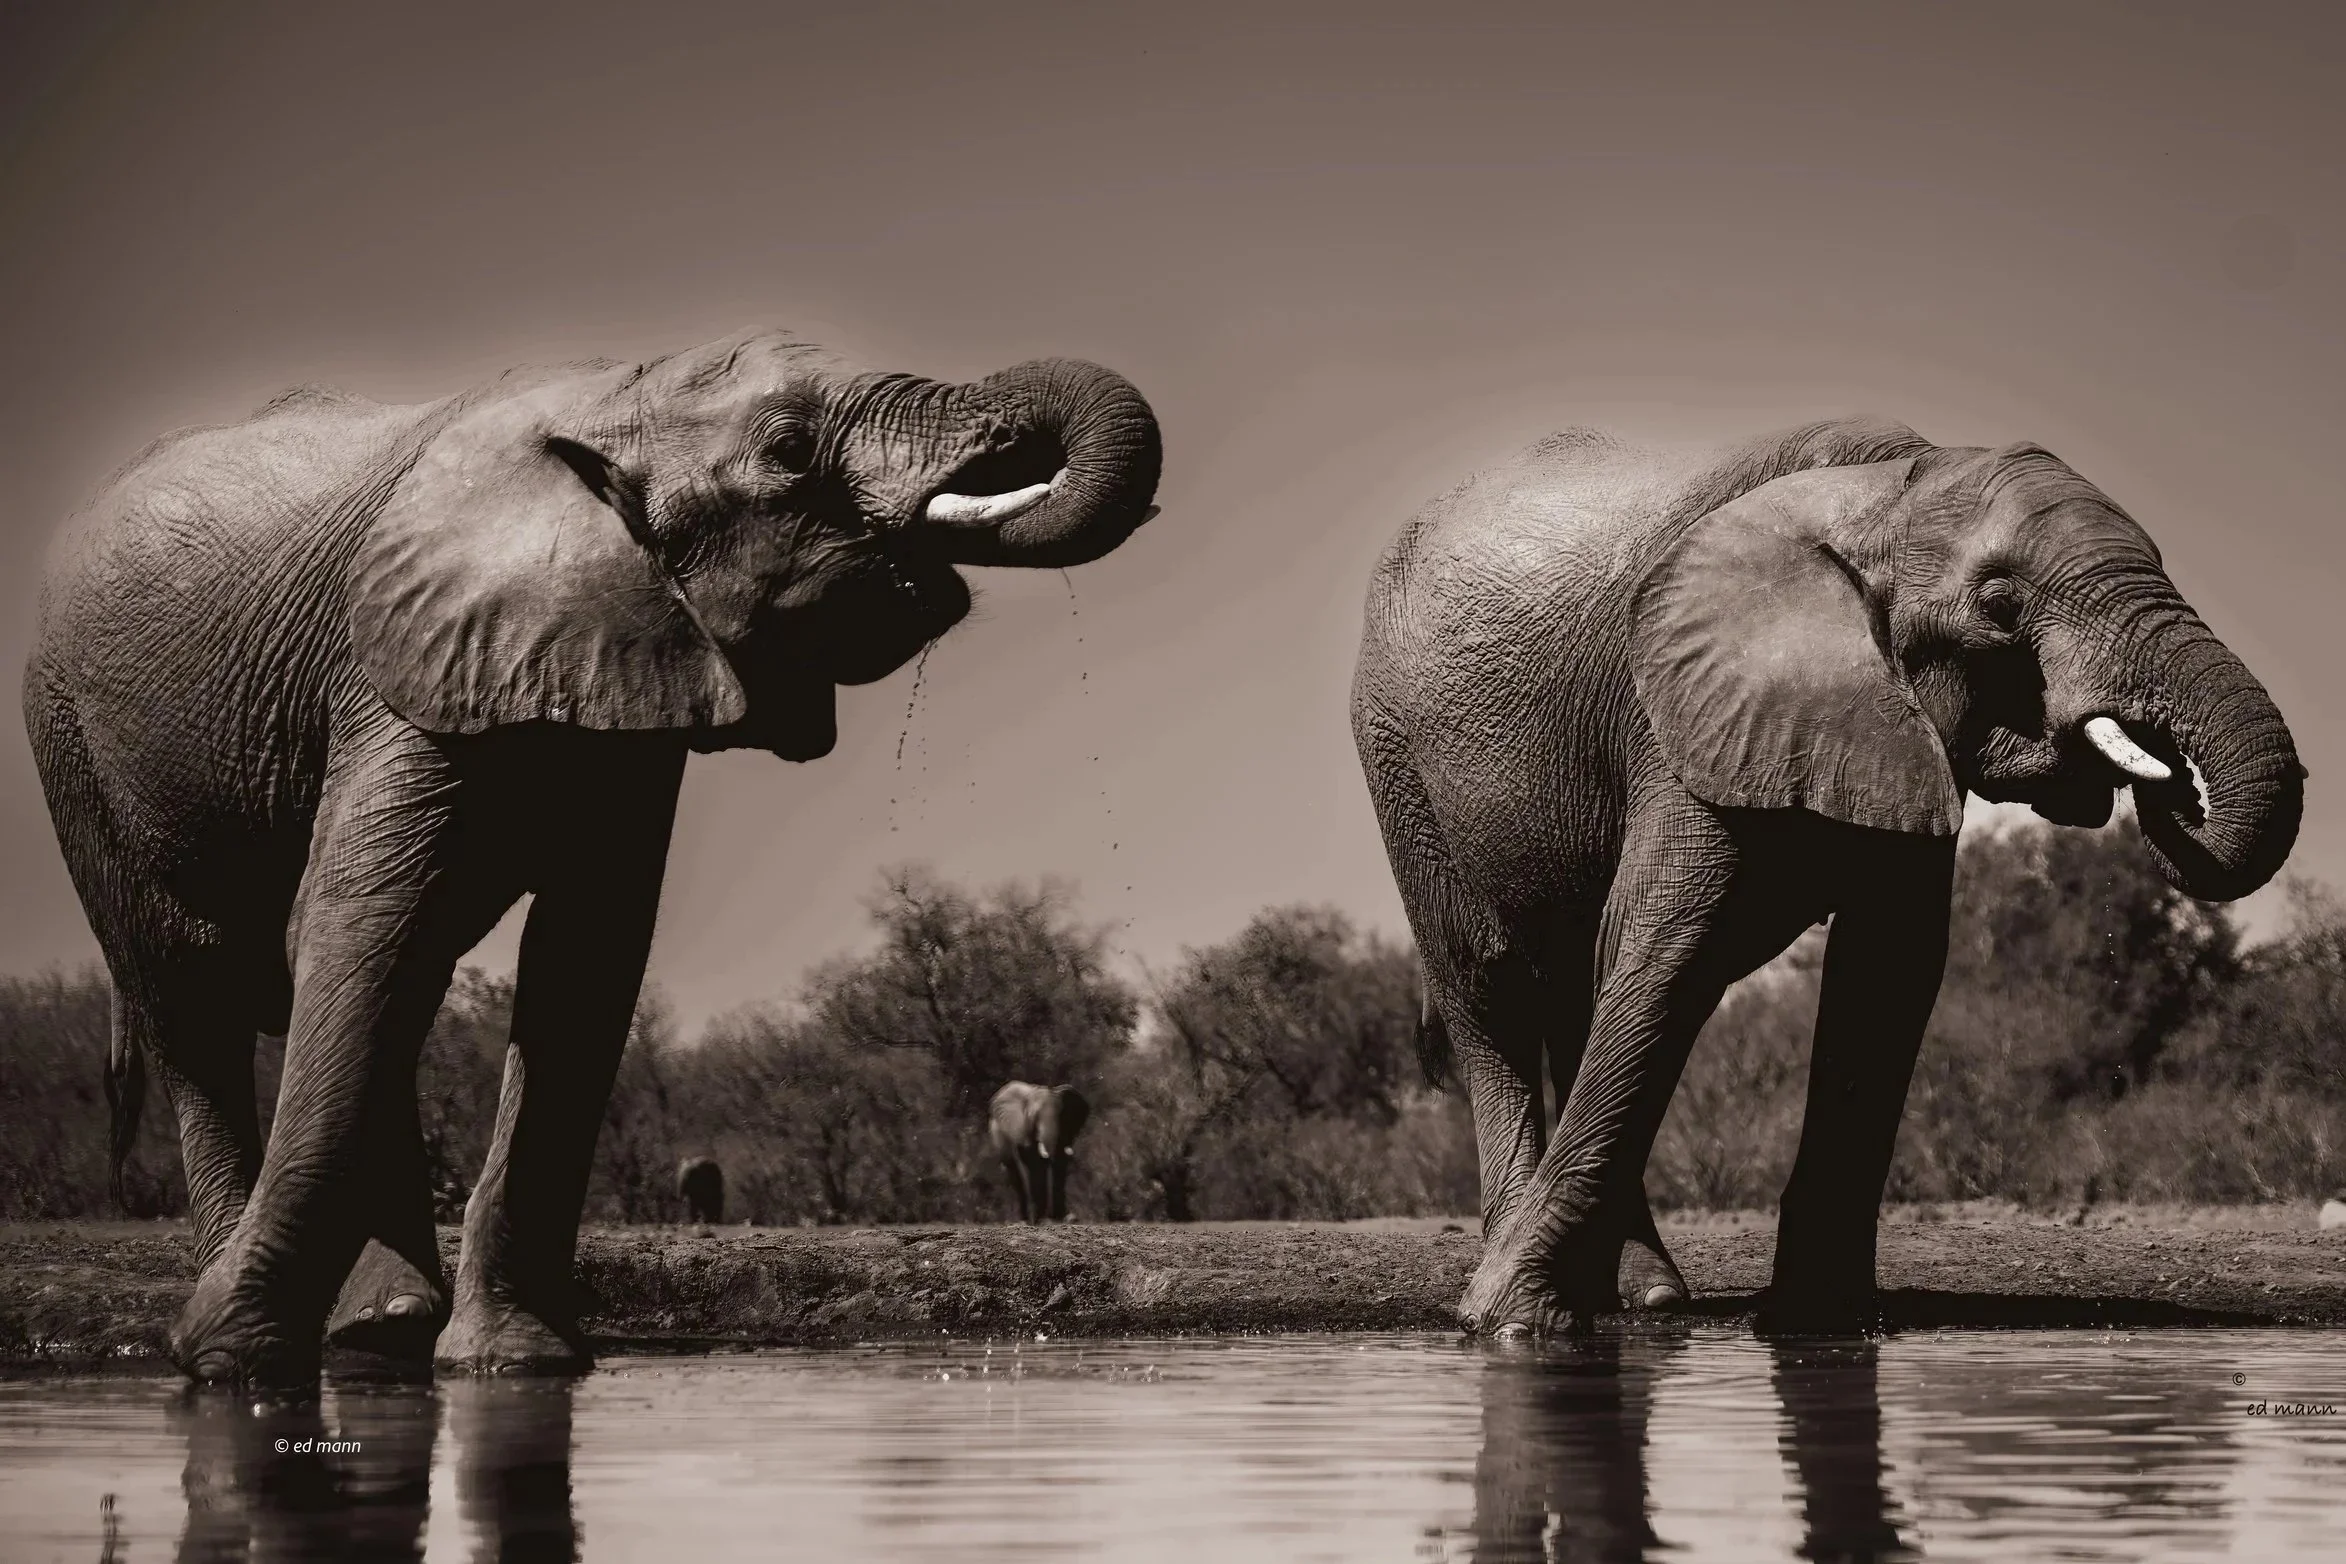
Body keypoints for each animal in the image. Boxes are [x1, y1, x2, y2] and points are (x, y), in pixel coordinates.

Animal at [988, 1081, 1090, 1222]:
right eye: (1034, 1117)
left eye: (1062, 1116)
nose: (1053, 1216)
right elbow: (1036, 1163)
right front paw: (1043, 1219)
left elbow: (1060, 1161)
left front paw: (1064, 1218)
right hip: (997, 1131)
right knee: (1013, 1166)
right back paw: (1026, 1219)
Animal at [1351, 417, 2301, 1337]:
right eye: (2001, 607)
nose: (2167, 781)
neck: (1890, 488)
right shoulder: (1684, 708)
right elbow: (1669, 949)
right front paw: (1509, 1325)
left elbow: (1887, 972)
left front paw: (1821, 1324)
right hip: (1400, 765)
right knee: (1494, 990)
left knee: (1575, 994)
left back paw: (1650, 1299)